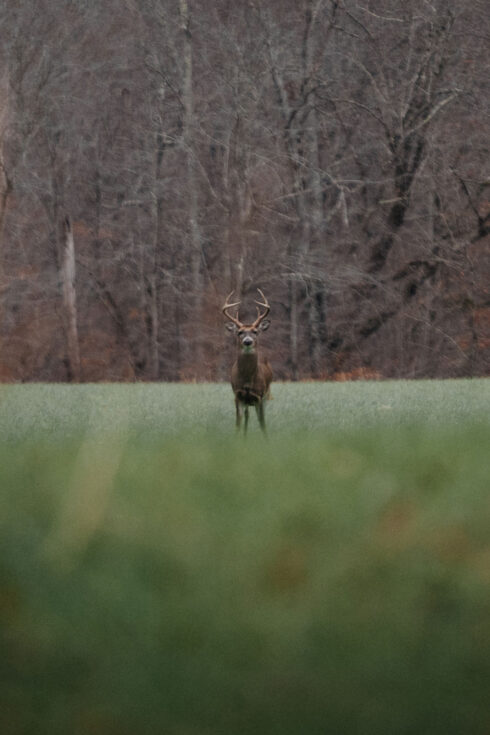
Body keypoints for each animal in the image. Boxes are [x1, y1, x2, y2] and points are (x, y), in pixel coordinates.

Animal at [222, 289, 273, 434]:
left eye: (255, 331)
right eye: (240, 332)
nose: (248, 341)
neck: (247, 380)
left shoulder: (259, 395)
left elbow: (262, 422)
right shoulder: (238, 395)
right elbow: (238, 422)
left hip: (267, 393)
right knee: (246, 416)